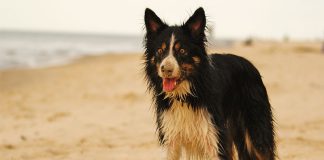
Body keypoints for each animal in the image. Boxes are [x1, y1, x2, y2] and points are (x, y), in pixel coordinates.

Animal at [143, 7, 274, 160]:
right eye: (160, 51)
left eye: (182, 51)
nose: (166, 70)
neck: (186, 95)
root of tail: (250, 64)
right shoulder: (170, 139)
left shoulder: (214, 137)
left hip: (256, 128)